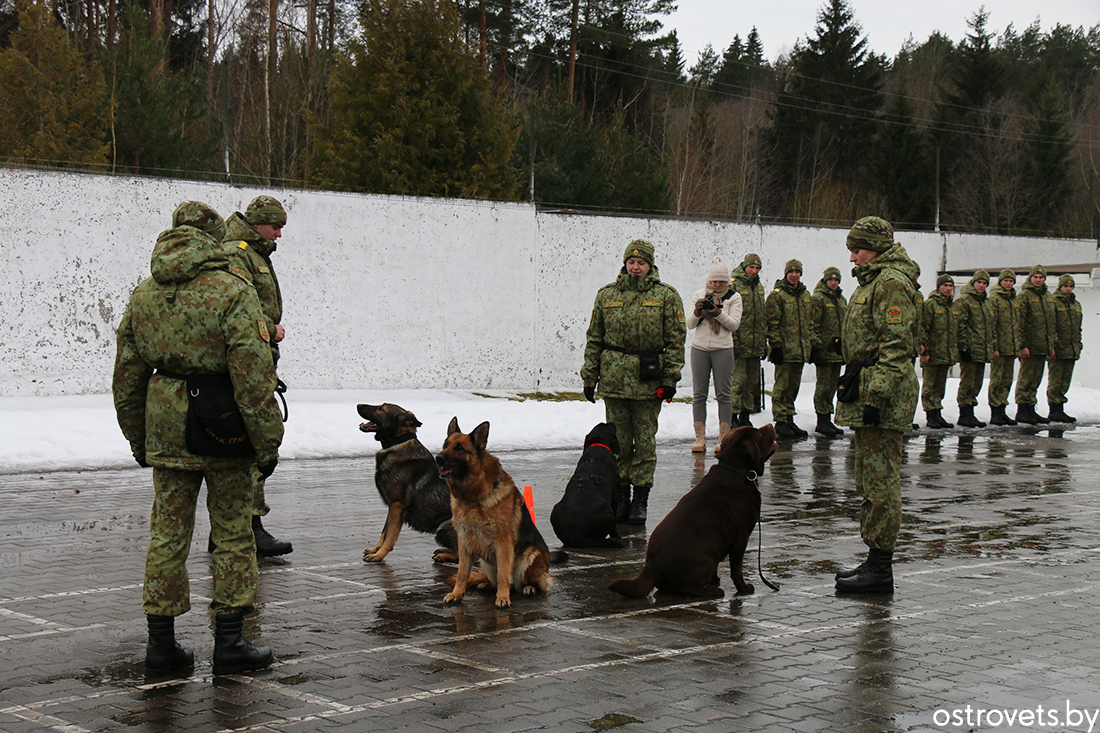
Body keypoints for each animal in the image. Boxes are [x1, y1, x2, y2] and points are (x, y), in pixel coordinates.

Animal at [358, 402, 457, 561]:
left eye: (381, 408)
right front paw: (375, 550)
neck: (396, 444)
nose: (358, 405)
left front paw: (379, 555)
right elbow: (384, 531)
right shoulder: (392, 506)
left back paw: (444, 555)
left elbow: (390, 535)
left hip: (444, 525)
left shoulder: (398, 506)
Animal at [435, 416, 554, 603]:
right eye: (445, 445)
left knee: (533, 583)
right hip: (486, 561)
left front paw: (503, 598)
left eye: (459, 448)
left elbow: (503, 574)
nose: (438, 458)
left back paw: (529, 588)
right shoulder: (464, 542)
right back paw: (486, 584)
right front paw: (456, 594)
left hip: (531, 554)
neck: (473, 497)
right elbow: (462, 573)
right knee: (494, 579)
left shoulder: (503, 543)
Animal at [607, 422, 778, 598]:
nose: (770, 424)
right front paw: (743, 589)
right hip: (707, 557)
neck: (737, 470)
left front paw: (715, 580)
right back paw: (714, 592)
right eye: (758, 433)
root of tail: (650, 567)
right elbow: (736, 570)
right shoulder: (740, 539)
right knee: (689, 588)